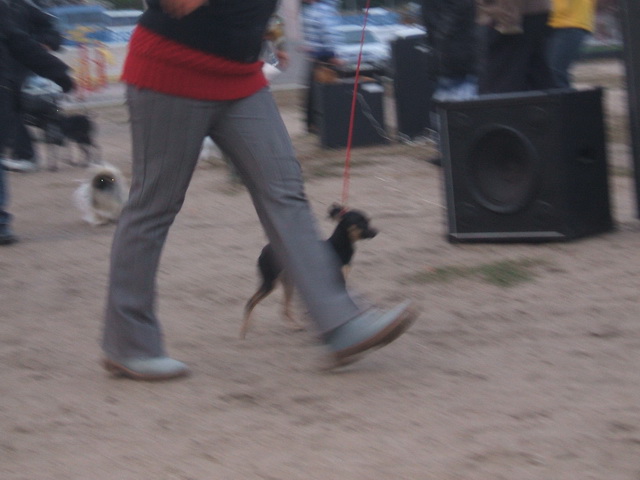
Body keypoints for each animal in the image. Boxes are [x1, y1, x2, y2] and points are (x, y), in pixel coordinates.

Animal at [240, 204, 378, 339]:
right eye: (360, 222)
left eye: (368, 220)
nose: (375, 232)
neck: (338, 246)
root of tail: (263, 251)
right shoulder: (338, 281)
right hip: (271, 282)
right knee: (251, 302)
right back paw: (244, 331)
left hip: (288, 282)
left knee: (283, 308)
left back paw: (294, 327)